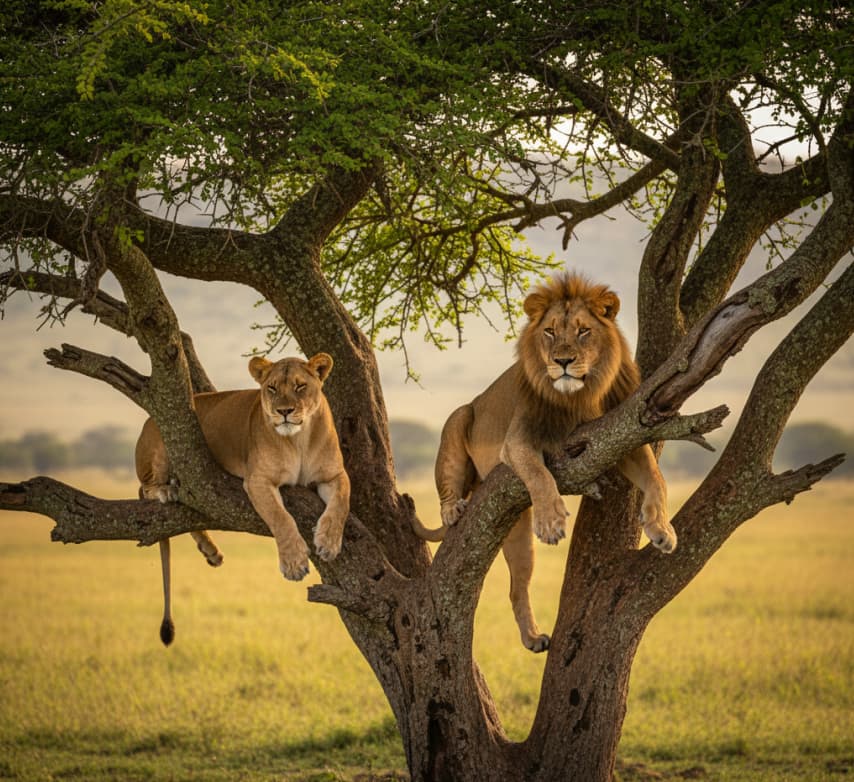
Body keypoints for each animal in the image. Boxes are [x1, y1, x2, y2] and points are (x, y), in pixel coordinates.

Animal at [136, 353, 350, 645]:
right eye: (272, 388)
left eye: (300, 386)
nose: (284, 411)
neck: (300, 440)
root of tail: (149, 419)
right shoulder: (257, 480)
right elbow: (281, 518)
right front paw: (294, 563)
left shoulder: (335, 475)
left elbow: (341, 504)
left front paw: (328, 542)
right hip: (159, 448)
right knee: (146, 489)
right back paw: (165, 490)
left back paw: (211, 551)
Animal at [414, 272, 676, 652]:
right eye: (550, 331)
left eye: (583, 331)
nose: (562, 361)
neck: (579, 397)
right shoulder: (518, 440)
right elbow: (539, 473)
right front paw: (552, 521)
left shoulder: (621, 432)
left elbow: (657, 479)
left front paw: (661, 529)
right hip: (460, 416)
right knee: (449, 482)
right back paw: (453, 510)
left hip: (518, 530)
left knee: (516, 588)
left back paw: (533, 638)